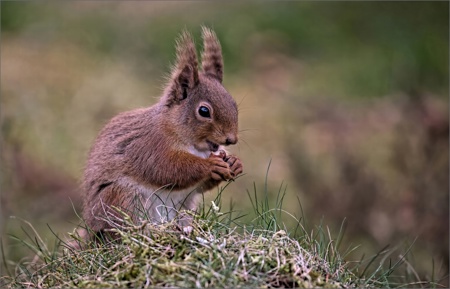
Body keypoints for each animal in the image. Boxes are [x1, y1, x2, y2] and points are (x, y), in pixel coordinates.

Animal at [81, 25, 243, 235]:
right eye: (204, 111)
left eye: (234, 104)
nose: (231, 139)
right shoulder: (149, 145)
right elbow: (166, 168)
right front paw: (211, 165)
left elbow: (200, 185)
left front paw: (235, 163)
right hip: (122, 198)